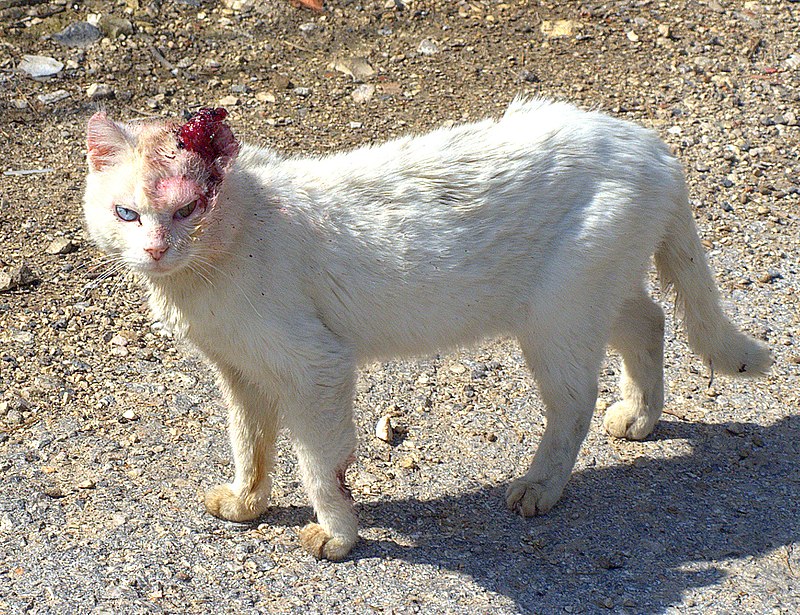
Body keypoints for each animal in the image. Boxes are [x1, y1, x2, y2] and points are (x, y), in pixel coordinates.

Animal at [84, 101, 772, 564]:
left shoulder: (316, 367)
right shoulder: (241, 373)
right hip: (593, 297)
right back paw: (641, 417)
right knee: (650, 321)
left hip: (558, 319)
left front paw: (337, 534)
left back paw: (540, 486)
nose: (155, 248)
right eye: (128, 213)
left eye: (187, 210)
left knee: (575, 404)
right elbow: (250, 447)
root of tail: (649, 144)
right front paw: (248, 504)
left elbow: (318, 465)